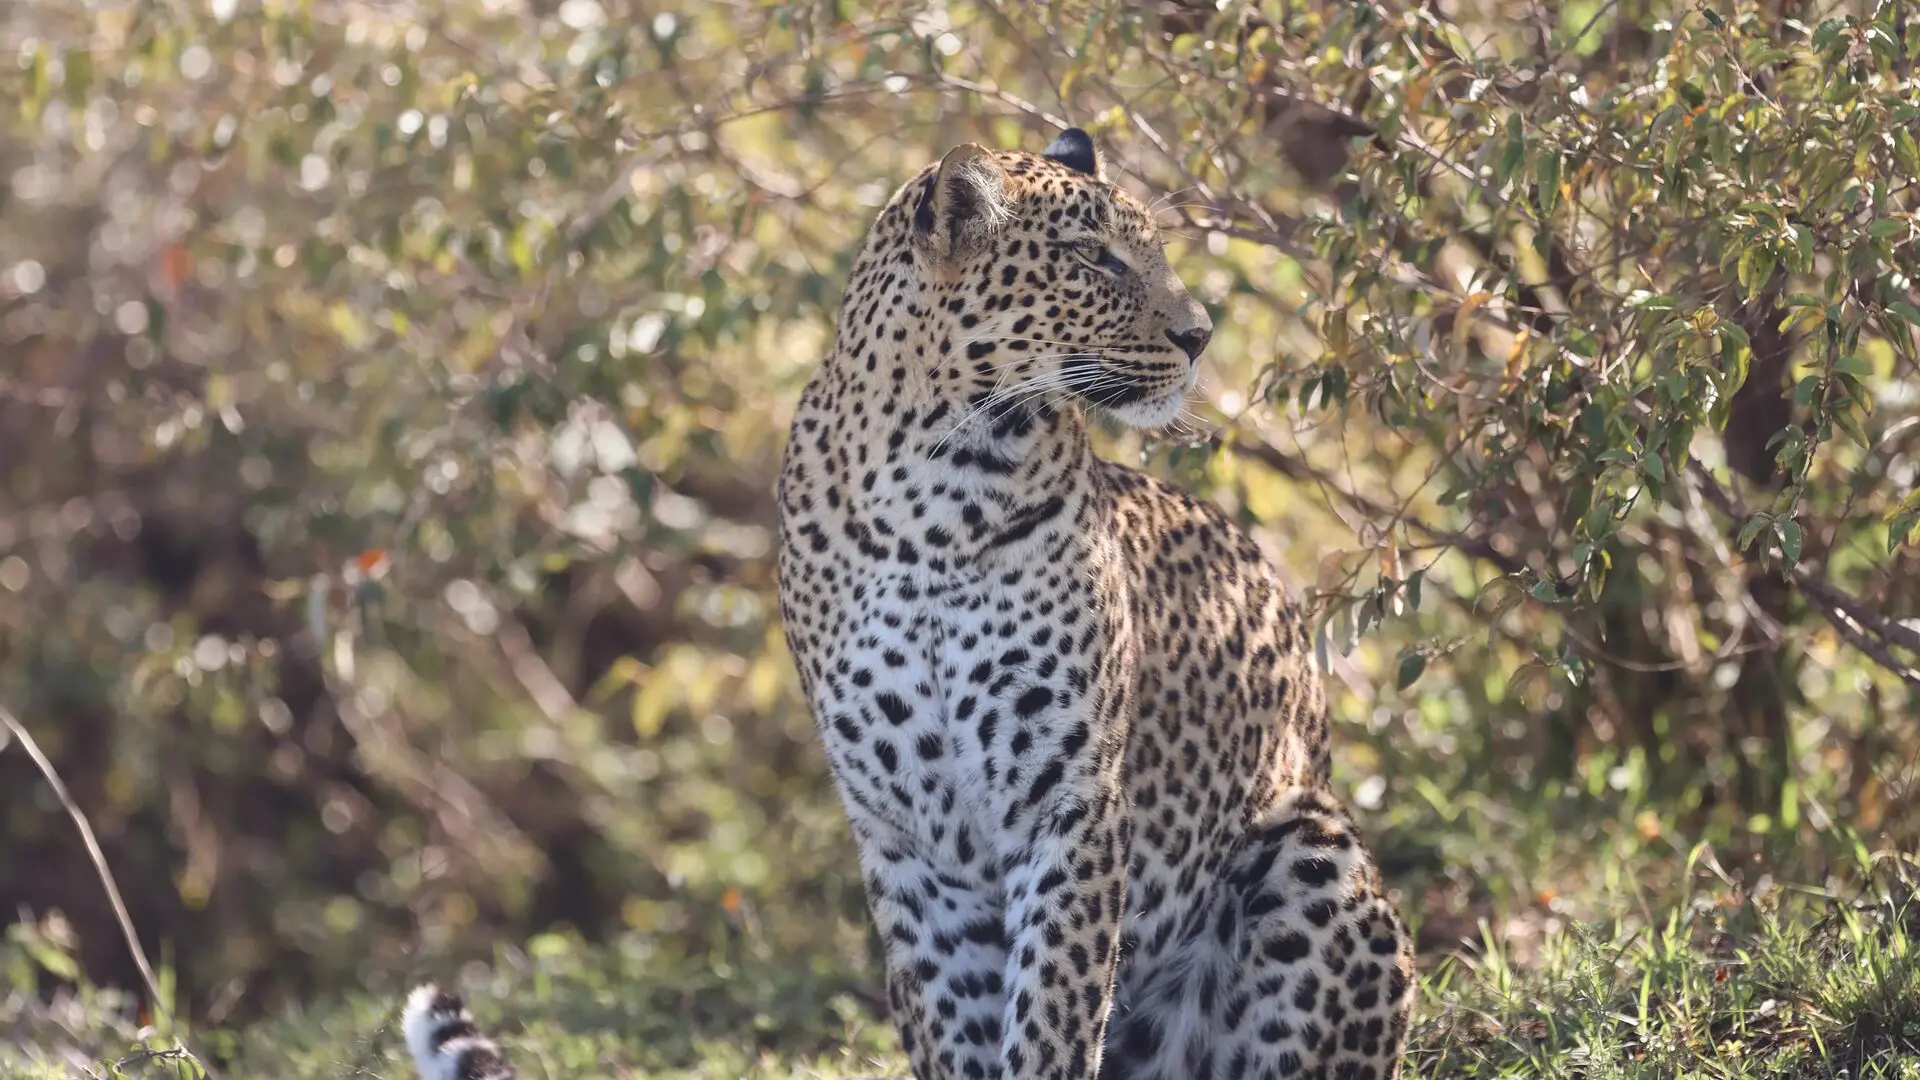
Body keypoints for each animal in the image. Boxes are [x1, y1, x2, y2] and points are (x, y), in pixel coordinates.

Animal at [773, 127, 1415, 1080]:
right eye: (1094, 258)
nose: (1200, 334)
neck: (937, 489)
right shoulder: (906, 838)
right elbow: (956, 1016)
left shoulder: (1068, 800)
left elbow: (1052, 1009)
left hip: (1310, 844)